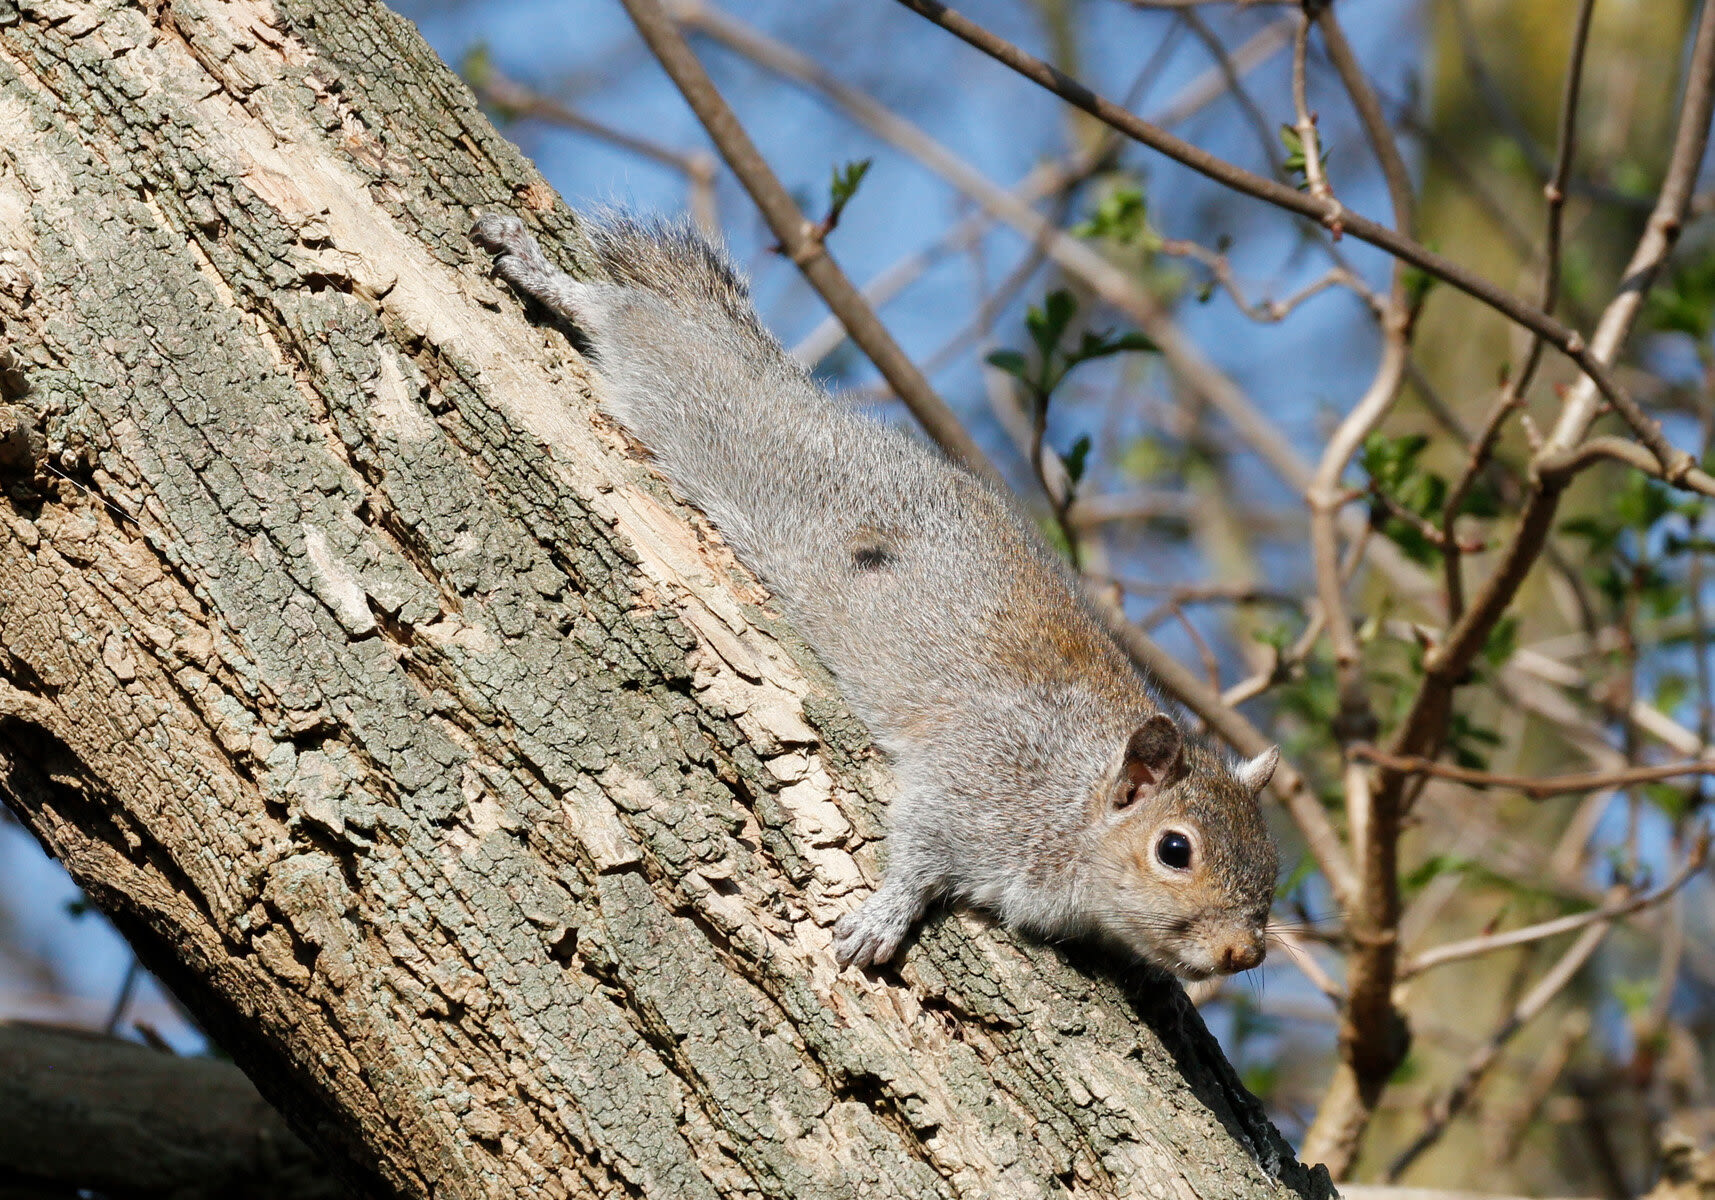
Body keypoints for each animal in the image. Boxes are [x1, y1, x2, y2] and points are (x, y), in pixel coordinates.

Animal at [466, 210, 1275, 980]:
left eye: (1271, 861)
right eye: (1175, 850)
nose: (1244, 953)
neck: (1077, 798)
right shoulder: (979, 778)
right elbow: (918, 847)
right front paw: (886, 915)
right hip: (702, 401)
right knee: (636, 321)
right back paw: (543, 272)